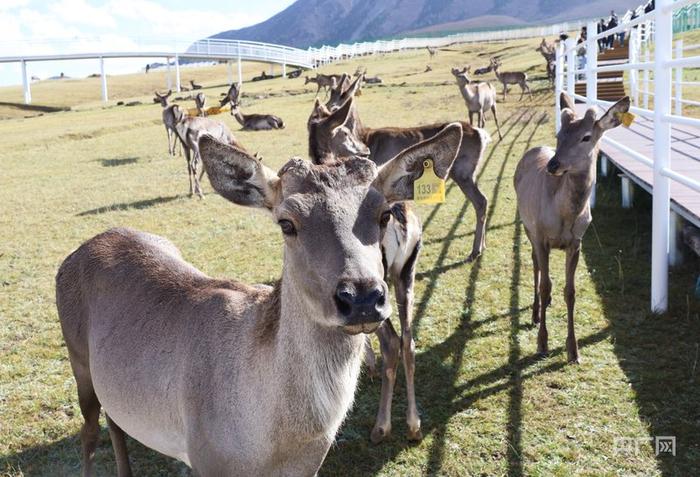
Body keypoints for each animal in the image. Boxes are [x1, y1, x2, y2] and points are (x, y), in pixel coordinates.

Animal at [56, 123, 464, 476]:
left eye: (383, 215)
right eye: (287, 223)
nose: (362, 297)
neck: (275, 445)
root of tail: (79, 250)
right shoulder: (204, 458)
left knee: (116, 420)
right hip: (79, 361)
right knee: (89, 430)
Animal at [516, 92, 628, 360]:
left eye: (586, 137)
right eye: (559, 135)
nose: (553, 165)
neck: (564, 217)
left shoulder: (577, 241)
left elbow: (571, 291)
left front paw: (573, 350)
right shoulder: (540, 235)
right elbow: (544, 284)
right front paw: (542, 343)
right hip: (526, 224)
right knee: (535, 264)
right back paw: (536, 311)